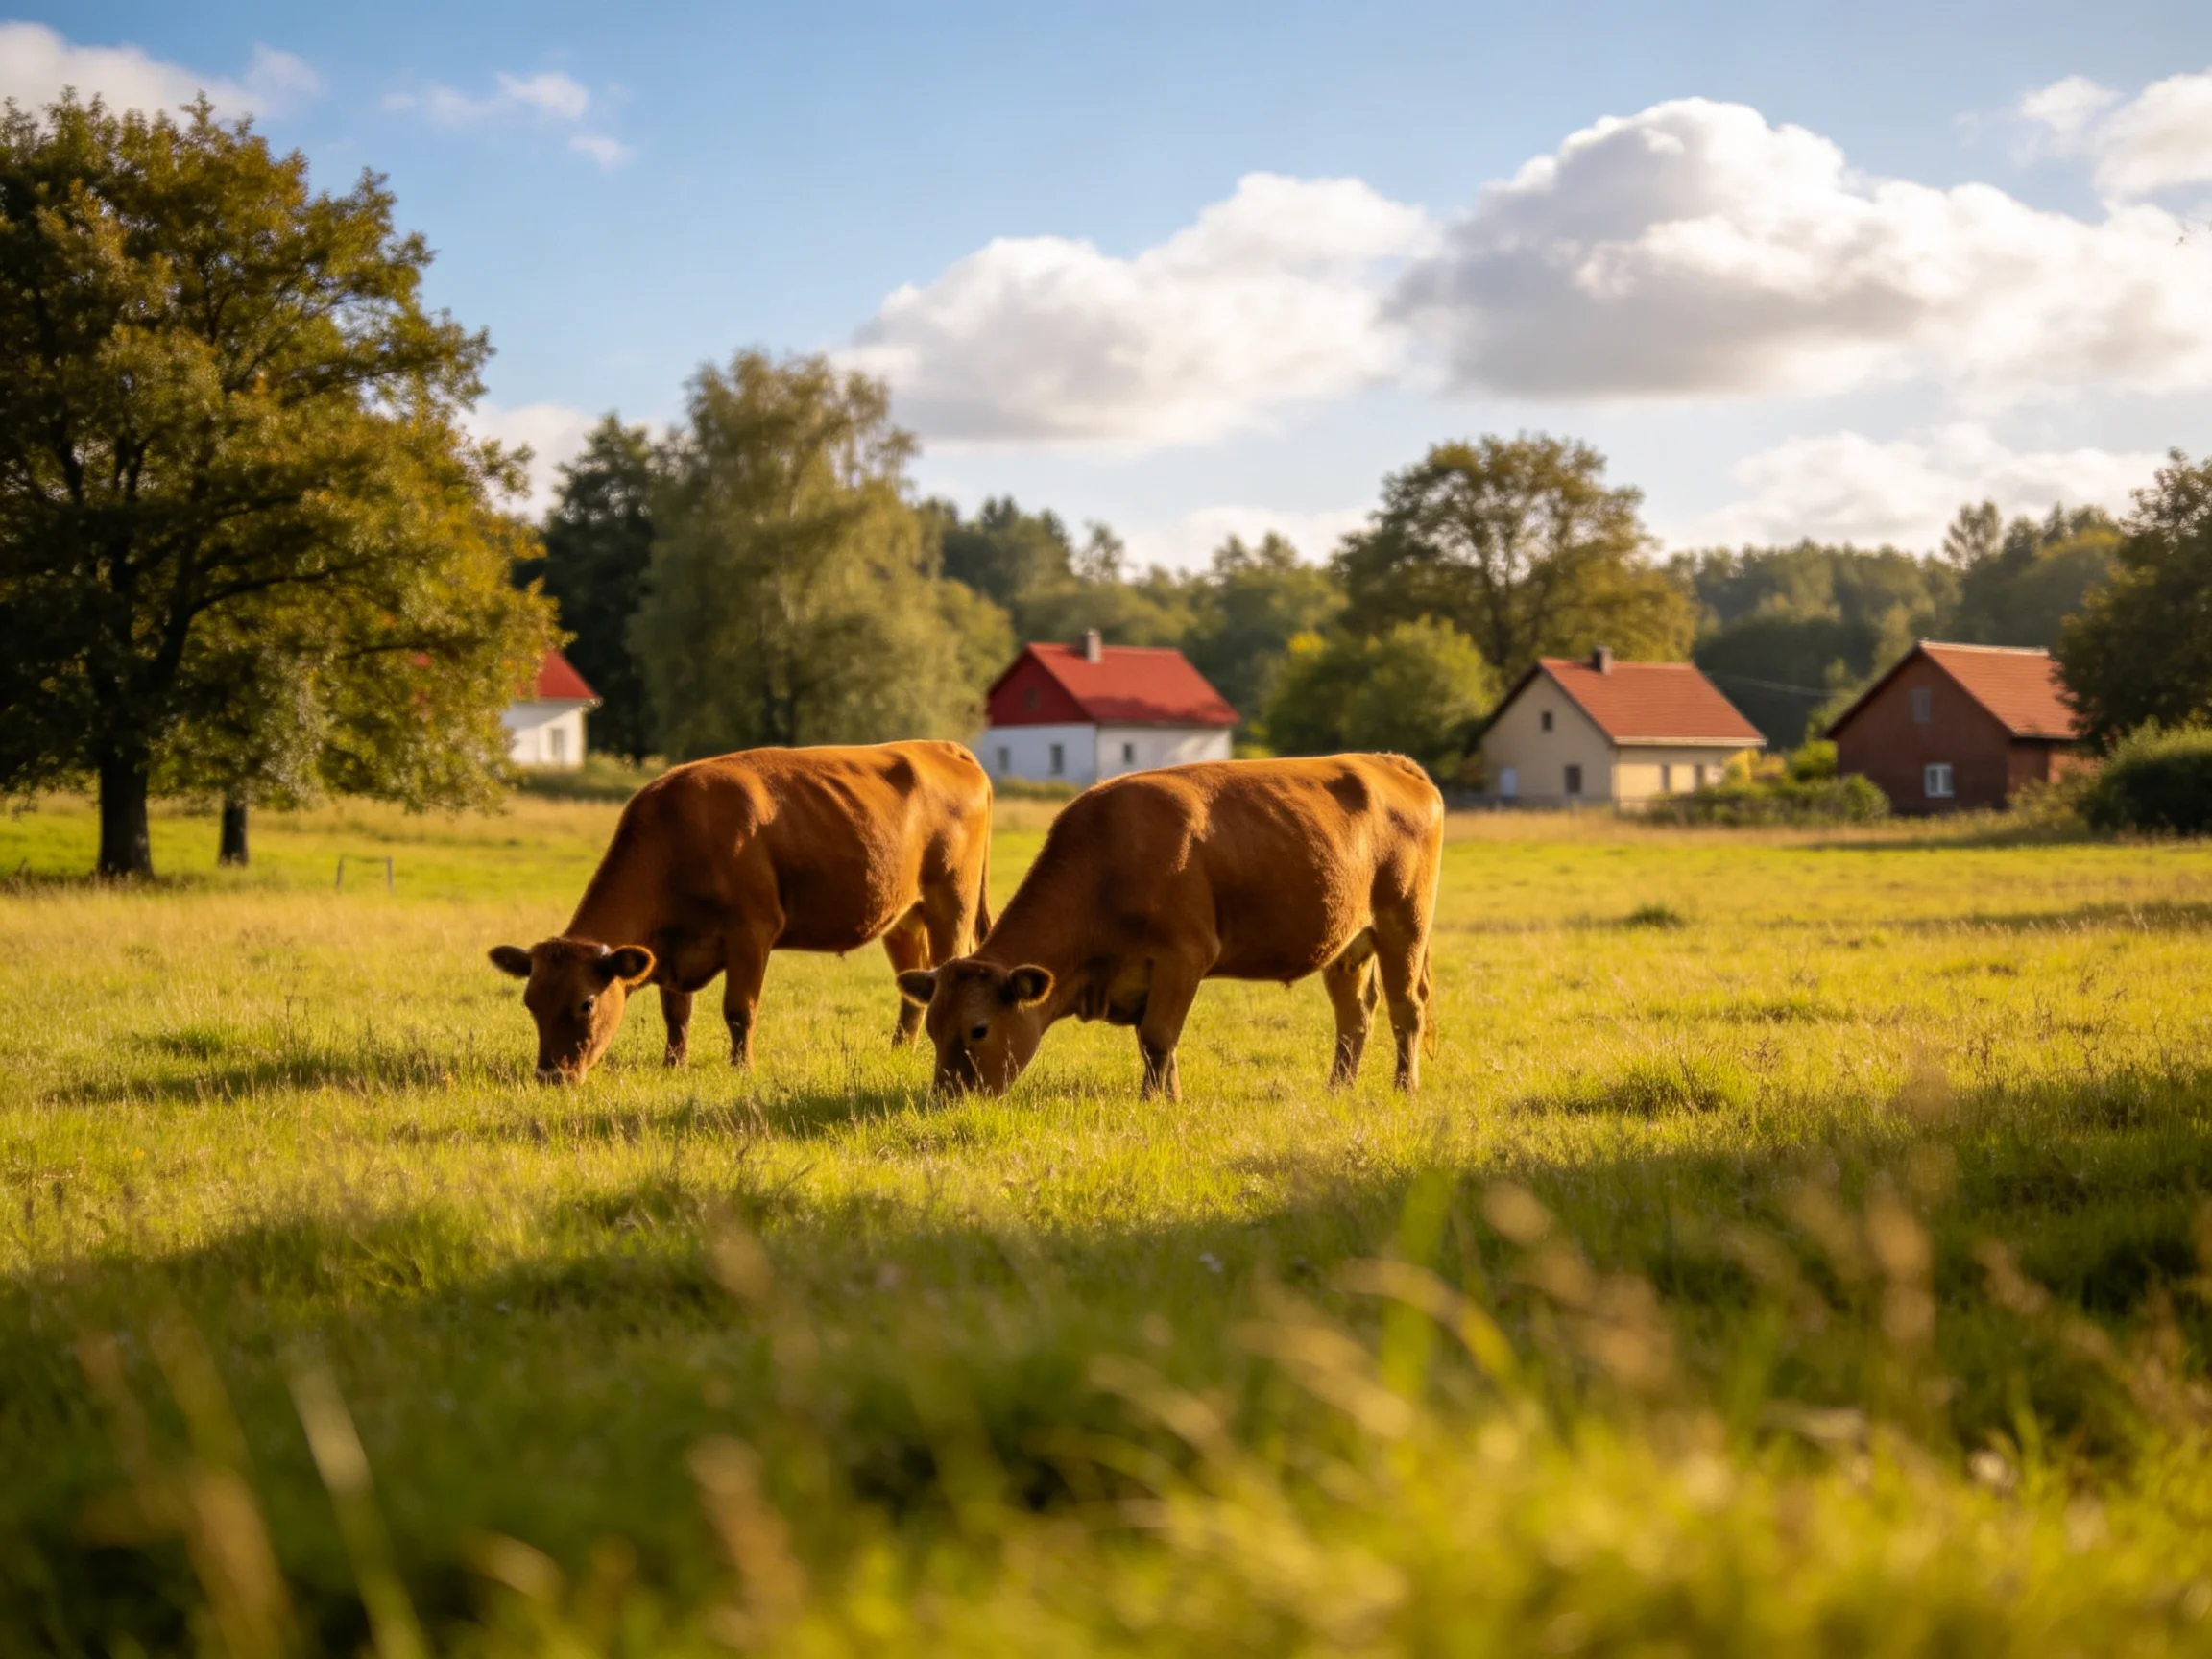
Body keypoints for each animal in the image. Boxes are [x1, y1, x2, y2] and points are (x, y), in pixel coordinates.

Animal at [490, 741, 992, 1083]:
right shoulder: (672, 950)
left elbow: (739, 1009)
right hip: (902, 916)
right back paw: (898, 1051)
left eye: (586, 1003)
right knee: (913, 985)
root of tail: (940, 746)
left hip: (951, 902)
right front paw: (674, 1065)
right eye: (530, 1001)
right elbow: (677, 1014)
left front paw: (740, 1068)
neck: (676, 839)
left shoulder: (752, 931)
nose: (550, 1076)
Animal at [895, 754, 1442, 1101]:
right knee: (1354, 1015)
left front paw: (1156, 1101)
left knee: (1406, 1010)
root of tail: (1388, 761)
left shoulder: (1184, 956)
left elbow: (1158, 1037)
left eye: (978, 1029)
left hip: (1405, 925)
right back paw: (1338, 1088)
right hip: (1347, 944)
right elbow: (1153, 1042)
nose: (944, 1101)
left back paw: (1405, 1087)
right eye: (933, 1029)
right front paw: (1164, 1095)